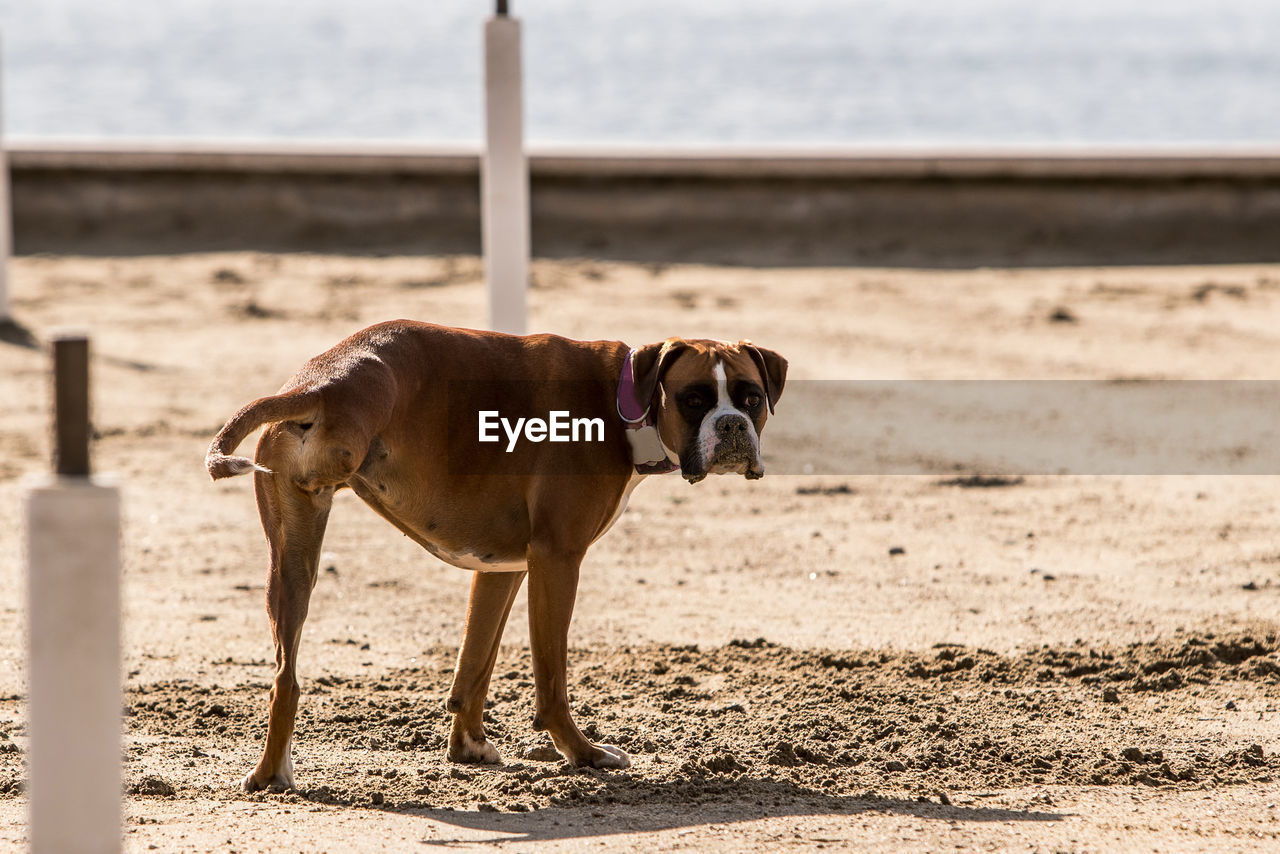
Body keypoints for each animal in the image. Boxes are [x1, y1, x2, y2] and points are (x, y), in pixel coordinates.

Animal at [206, 322, 783, 793]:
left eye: (751, 398)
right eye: (694, 399)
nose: (731, 424)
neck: (622, 401)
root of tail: (323, 382)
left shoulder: (502, 569)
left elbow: (474, 664)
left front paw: (469, 748)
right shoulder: (556, 562)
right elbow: (550, 678)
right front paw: (582, 754)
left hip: (291, 562)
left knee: (285, 675)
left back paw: (269, 775)